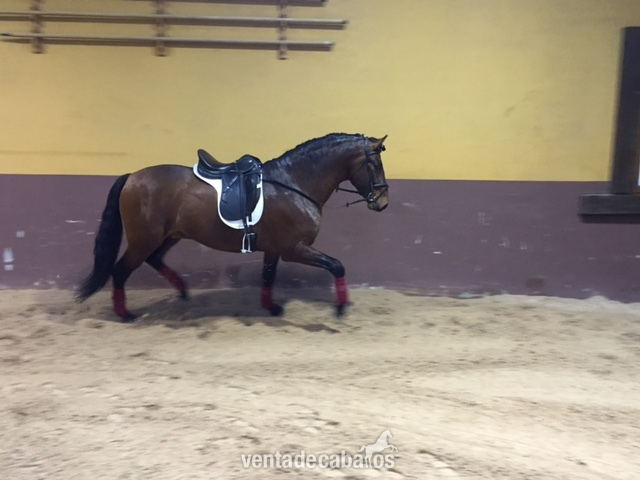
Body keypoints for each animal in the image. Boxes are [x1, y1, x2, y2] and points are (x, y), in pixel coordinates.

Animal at [76, 133, 389, 321]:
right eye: (375, 166)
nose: (383, 202)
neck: (293, 183)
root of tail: (132, 177)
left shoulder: (275, 249)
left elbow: (268, 276)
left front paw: (271, 307)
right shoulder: (295, 249)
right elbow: (337, 266)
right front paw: (340, 307)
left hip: (170, 235)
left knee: (154, 260)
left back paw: (183, 292)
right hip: (144, 240)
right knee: (120, 270)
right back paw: (125, 313)